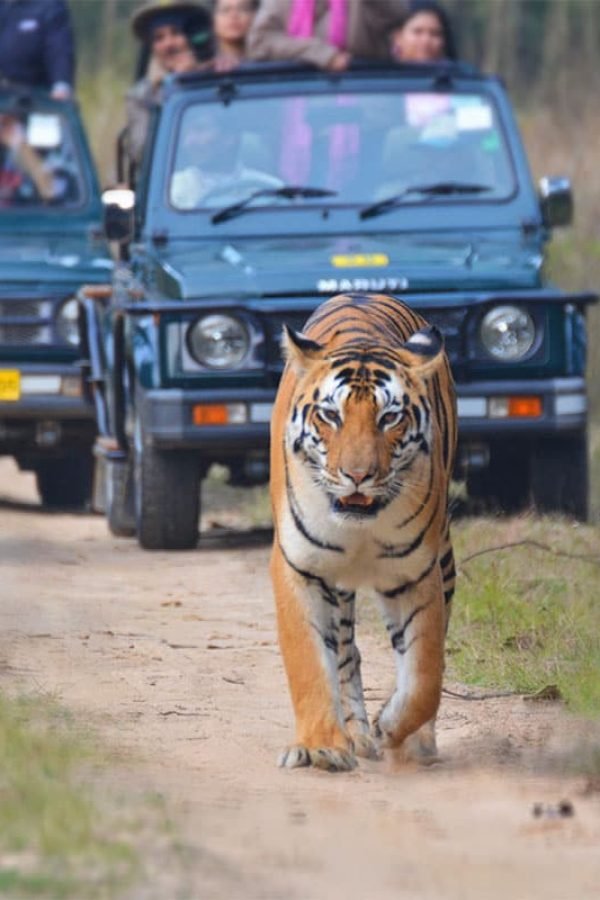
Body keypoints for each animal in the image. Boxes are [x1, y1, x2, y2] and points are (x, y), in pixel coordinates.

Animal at [269, 292, 457, 772]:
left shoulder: (416, 573)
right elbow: (310, 663)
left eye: (390, 417)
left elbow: (425, 671)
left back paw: (413, 741)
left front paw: (394, 728)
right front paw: (321, 746)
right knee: (346, 653)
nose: (357, 475)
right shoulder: (300, 567)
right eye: (330, 415)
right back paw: (352, 734)